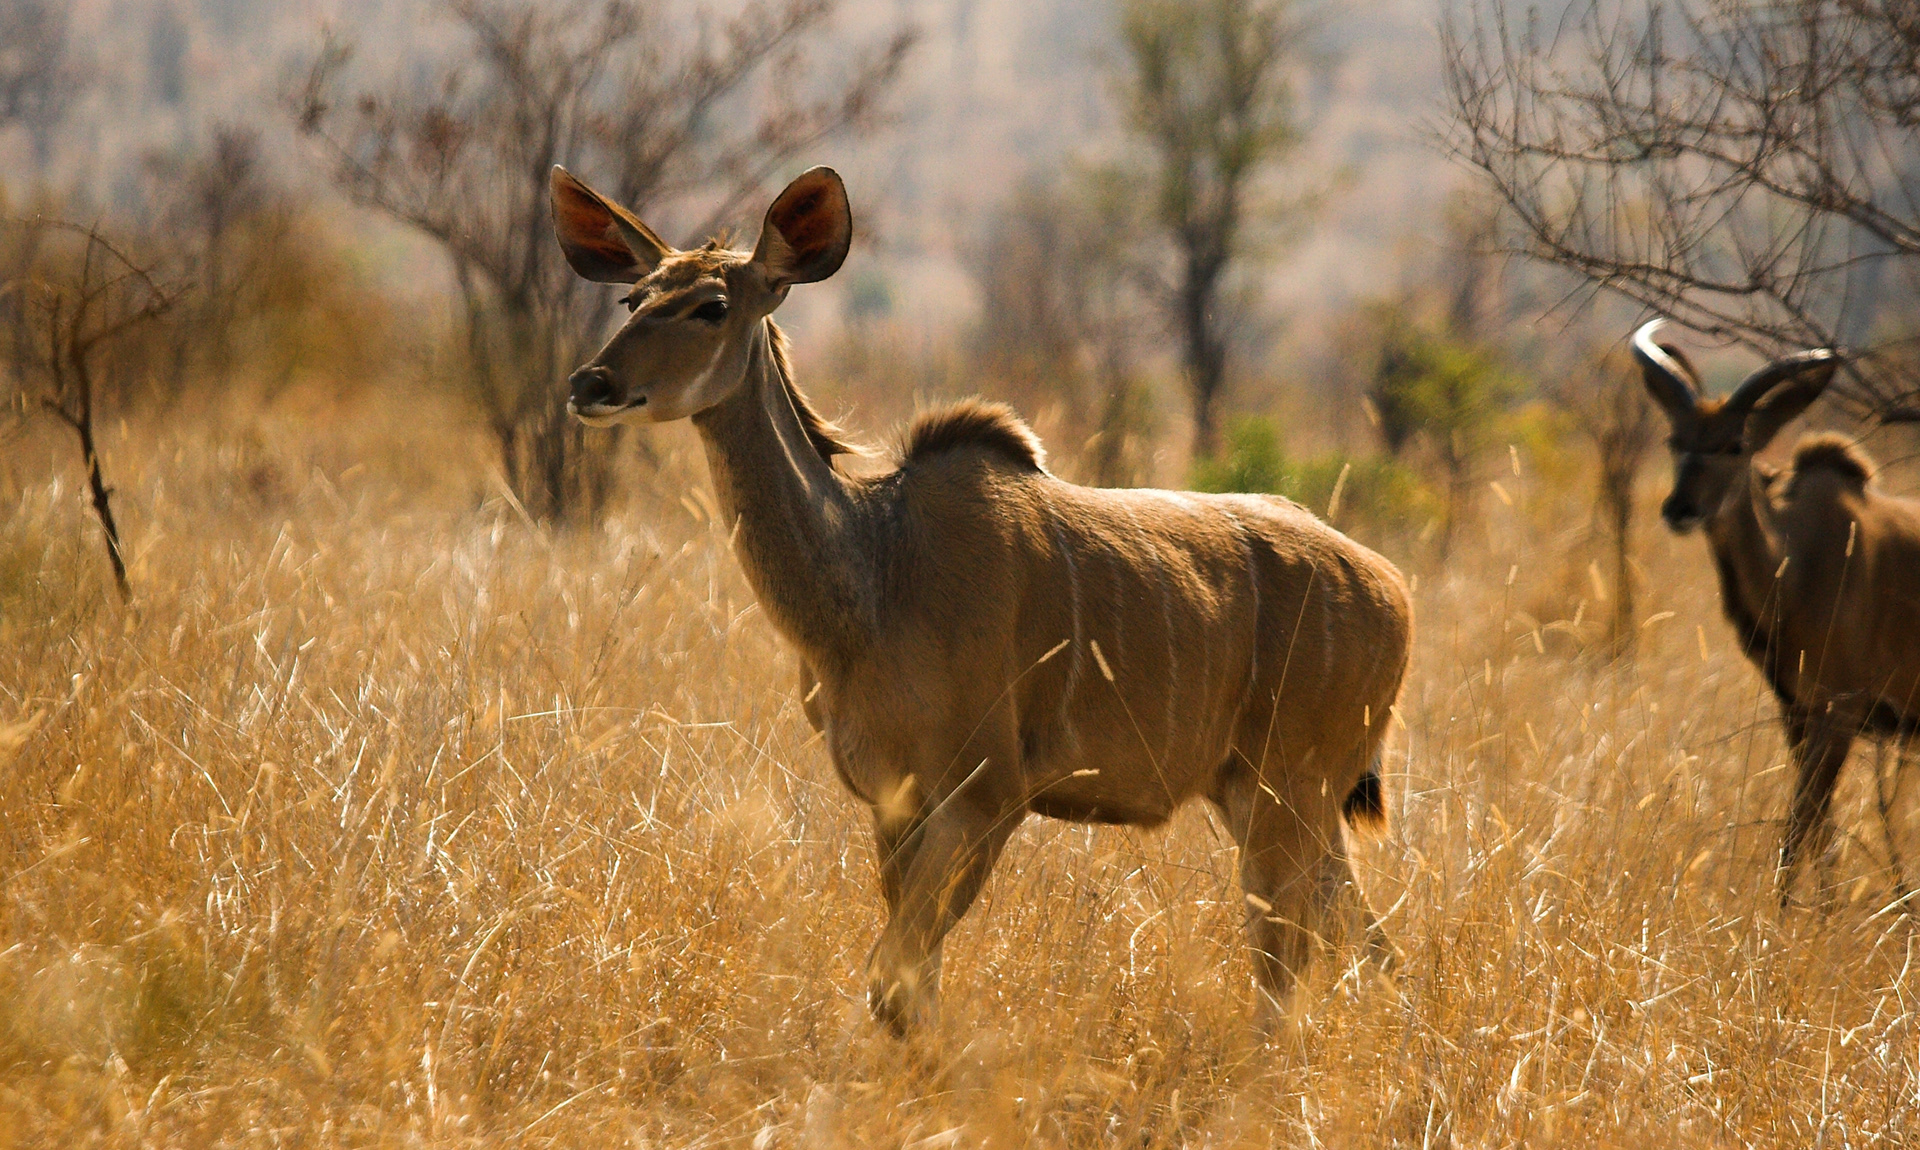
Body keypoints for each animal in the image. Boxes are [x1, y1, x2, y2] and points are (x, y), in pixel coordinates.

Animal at [551, 165, 1413, 1035]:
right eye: (633, 299)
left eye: (712, 305)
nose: (591, 383)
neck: (874, 577)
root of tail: (1390, 588)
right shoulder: (893, 804)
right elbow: (907, 983)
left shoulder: (986, 796)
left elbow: (896, 977)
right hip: (1263, 795)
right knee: (1365, 939)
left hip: (1287, 792)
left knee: (1288, 960)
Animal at [1634, 320, 1920, 895]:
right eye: (1676, 440)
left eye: (1735, 444)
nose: (1679, 508)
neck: (1800, 564)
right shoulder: (1798, 713)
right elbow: (1820, 834)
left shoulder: (1839, 712)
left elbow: (1799, 827)